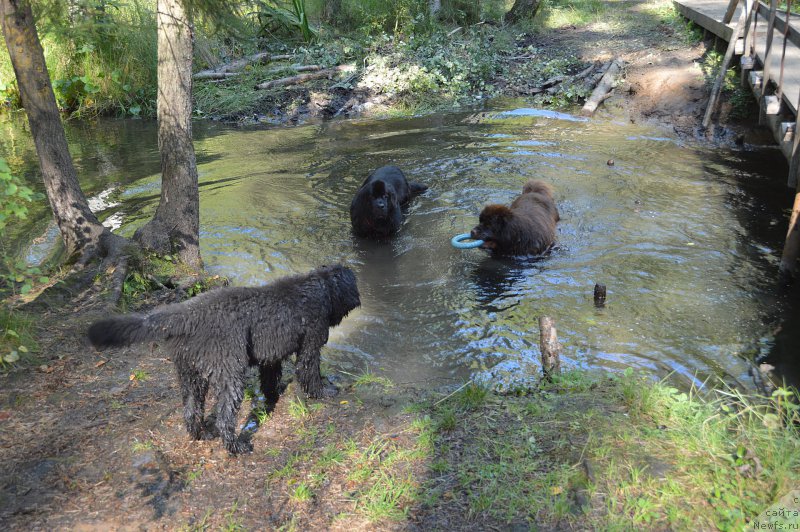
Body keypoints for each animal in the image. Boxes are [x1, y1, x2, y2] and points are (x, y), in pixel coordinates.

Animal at [89, 264, 360, 456]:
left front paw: (273, 398)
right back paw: (235, 447)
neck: (320, 289)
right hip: (230, 373)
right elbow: (310, 373)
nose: (357, 301)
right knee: (224, 417)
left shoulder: (270, 357)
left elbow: (269, 381)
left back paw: (201, 435)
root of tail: (185, 315)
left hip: (190, 374)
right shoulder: (310, 345)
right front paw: (324, 392)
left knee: (191, 410)